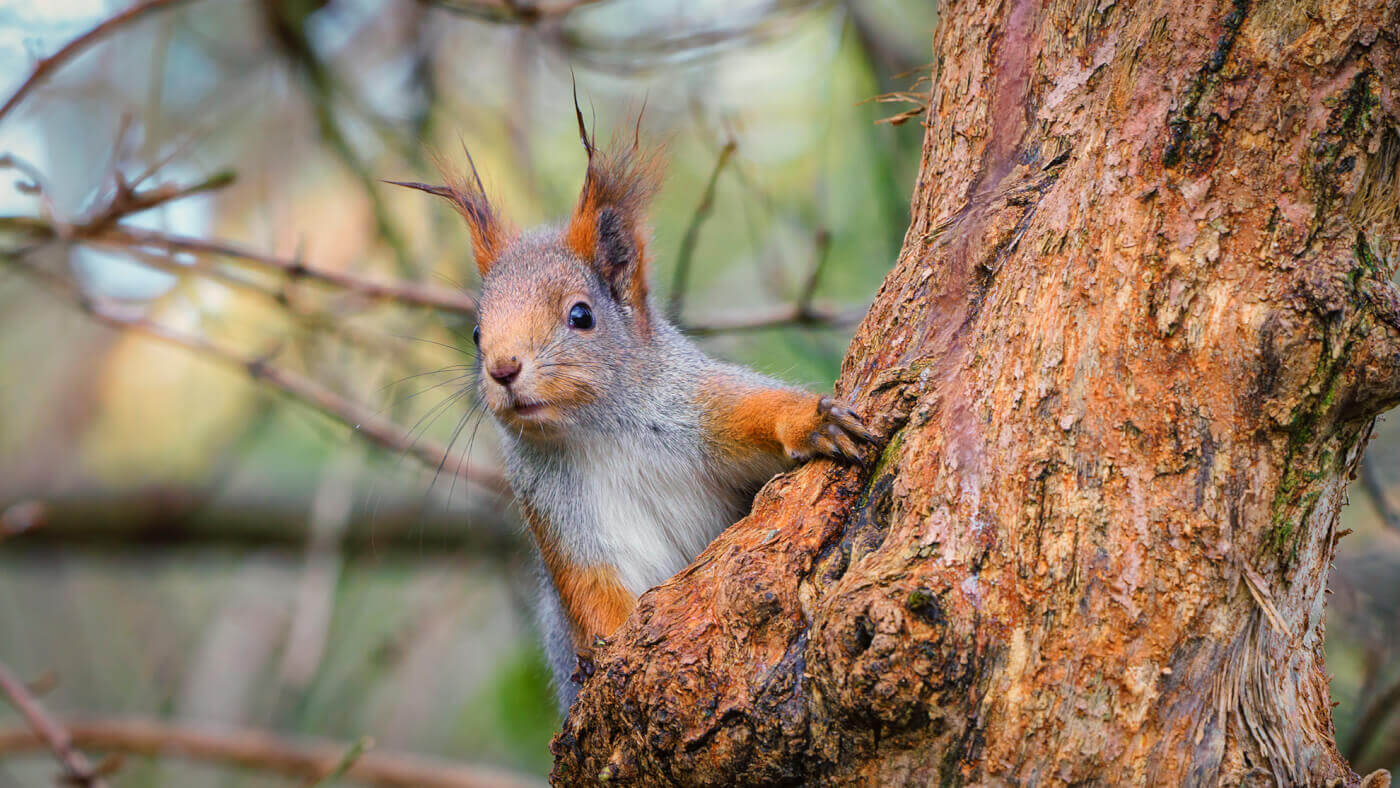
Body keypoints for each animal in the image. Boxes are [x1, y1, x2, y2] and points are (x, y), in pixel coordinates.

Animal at [397, 114, 873, 705]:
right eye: (476, 333)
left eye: (581, 315)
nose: (503, 369)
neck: (597, 431)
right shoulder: (557, 514)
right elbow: (593, 593)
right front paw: (602, 657)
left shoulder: (696, 403)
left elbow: (754, 412)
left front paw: (814, 422)